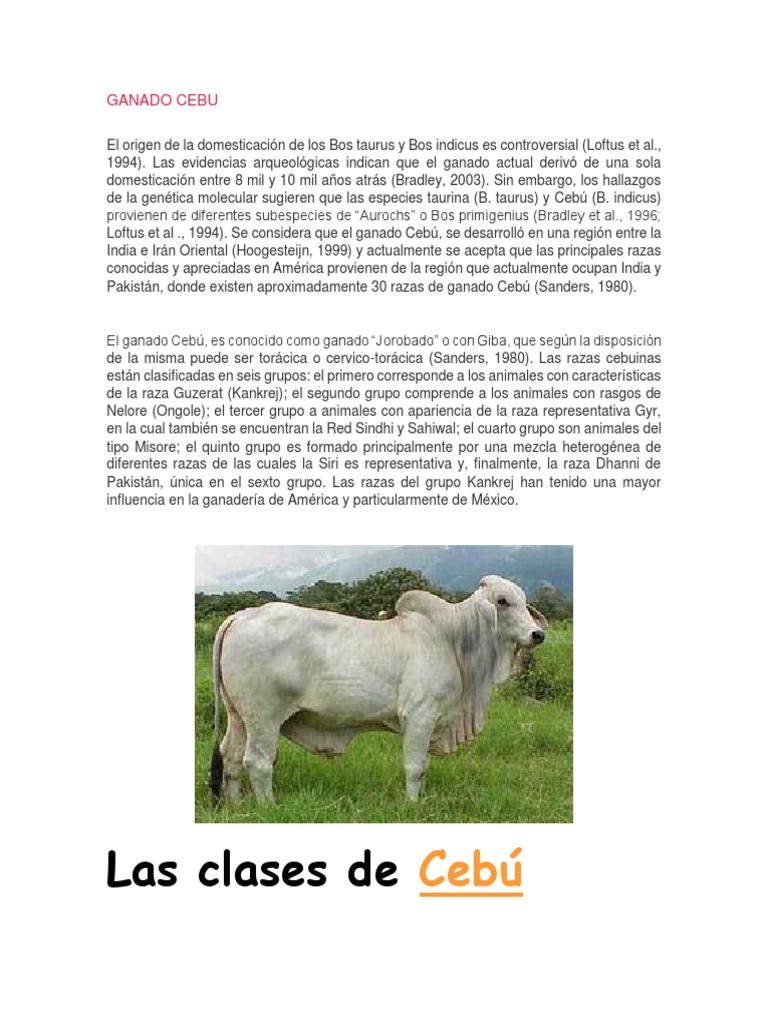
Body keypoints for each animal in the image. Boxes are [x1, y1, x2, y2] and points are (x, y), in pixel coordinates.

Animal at [209, 575, 548, 803]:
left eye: (523, 601)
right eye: (502, 601)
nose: (538, 634)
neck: (451, 639)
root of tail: (241, 615)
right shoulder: (420, 716)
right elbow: (416, 767)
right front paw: (412, 805)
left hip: (238, 715)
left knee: (231, 757)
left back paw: (236, 804)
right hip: (263, 717)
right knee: (258, 762)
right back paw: (269, 806)